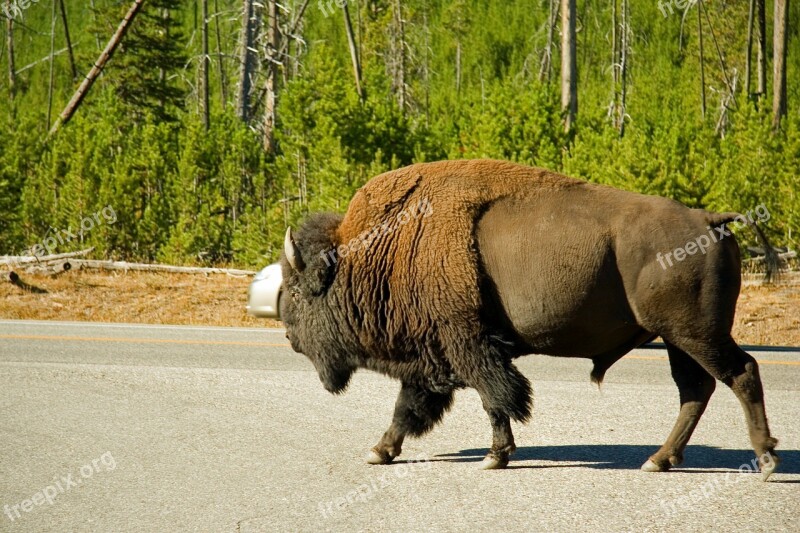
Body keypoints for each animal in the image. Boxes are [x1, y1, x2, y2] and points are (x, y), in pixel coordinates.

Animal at [282, 158, 780, 478]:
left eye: (297, 291)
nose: (289, 335)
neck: (382, 249)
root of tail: (710, 219)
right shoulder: (434, 358)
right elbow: (410, 408)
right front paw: (381, 451)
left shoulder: (467, 345)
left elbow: (494, 398)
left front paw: (494, 457)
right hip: (678, 339)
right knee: (696, 390)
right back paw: (659, 460)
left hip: (695, 333)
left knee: (740, 372)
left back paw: (765, 459)